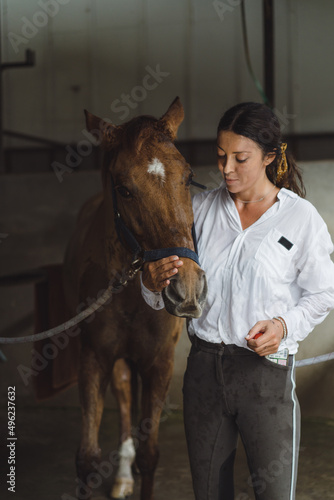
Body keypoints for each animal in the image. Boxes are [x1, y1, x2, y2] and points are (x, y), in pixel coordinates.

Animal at [63, 97, 206, 500]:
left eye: (188, 176)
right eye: (124, 189)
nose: (187, 287)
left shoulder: (159, 363)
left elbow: (150, 453)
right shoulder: (94, 360)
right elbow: (87, 458)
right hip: (119, 365)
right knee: (126, 402)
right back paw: (123, 477)